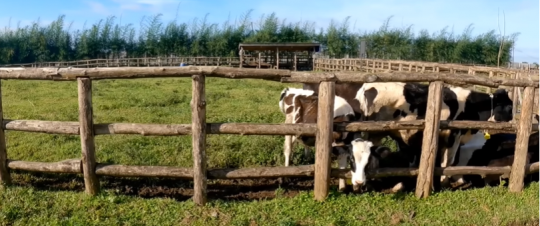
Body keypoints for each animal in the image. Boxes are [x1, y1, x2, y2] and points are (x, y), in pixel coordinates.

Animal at [352, 81, 512, 187]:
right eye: (509, 106)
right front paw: (445, 182)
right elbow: (448, 162)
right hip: (371, 132)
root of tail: (367, 86)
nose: (512, 119)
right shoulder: (453, 136)